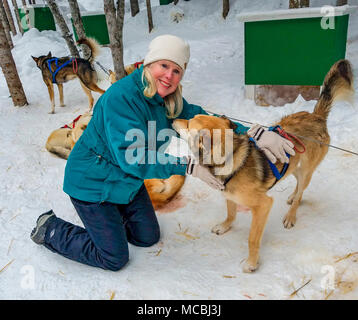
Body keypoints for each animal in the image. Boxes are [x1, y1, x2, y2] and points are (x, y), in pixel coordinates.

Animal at [172, 60, 354, 272]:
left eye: (189, 124)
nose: (174, 118)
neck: (230, 158)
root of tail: (316, 116)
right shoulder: (230, 196)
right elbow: (231, 213)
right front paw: (225, 226)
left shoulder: (263, 206)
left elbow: (252, 238)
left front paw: (251, 263)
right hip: (293, 165)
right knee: (297, 186)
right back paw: (292, 197)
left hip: (306, 170)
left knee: (301, 191)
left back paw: (291, 215)